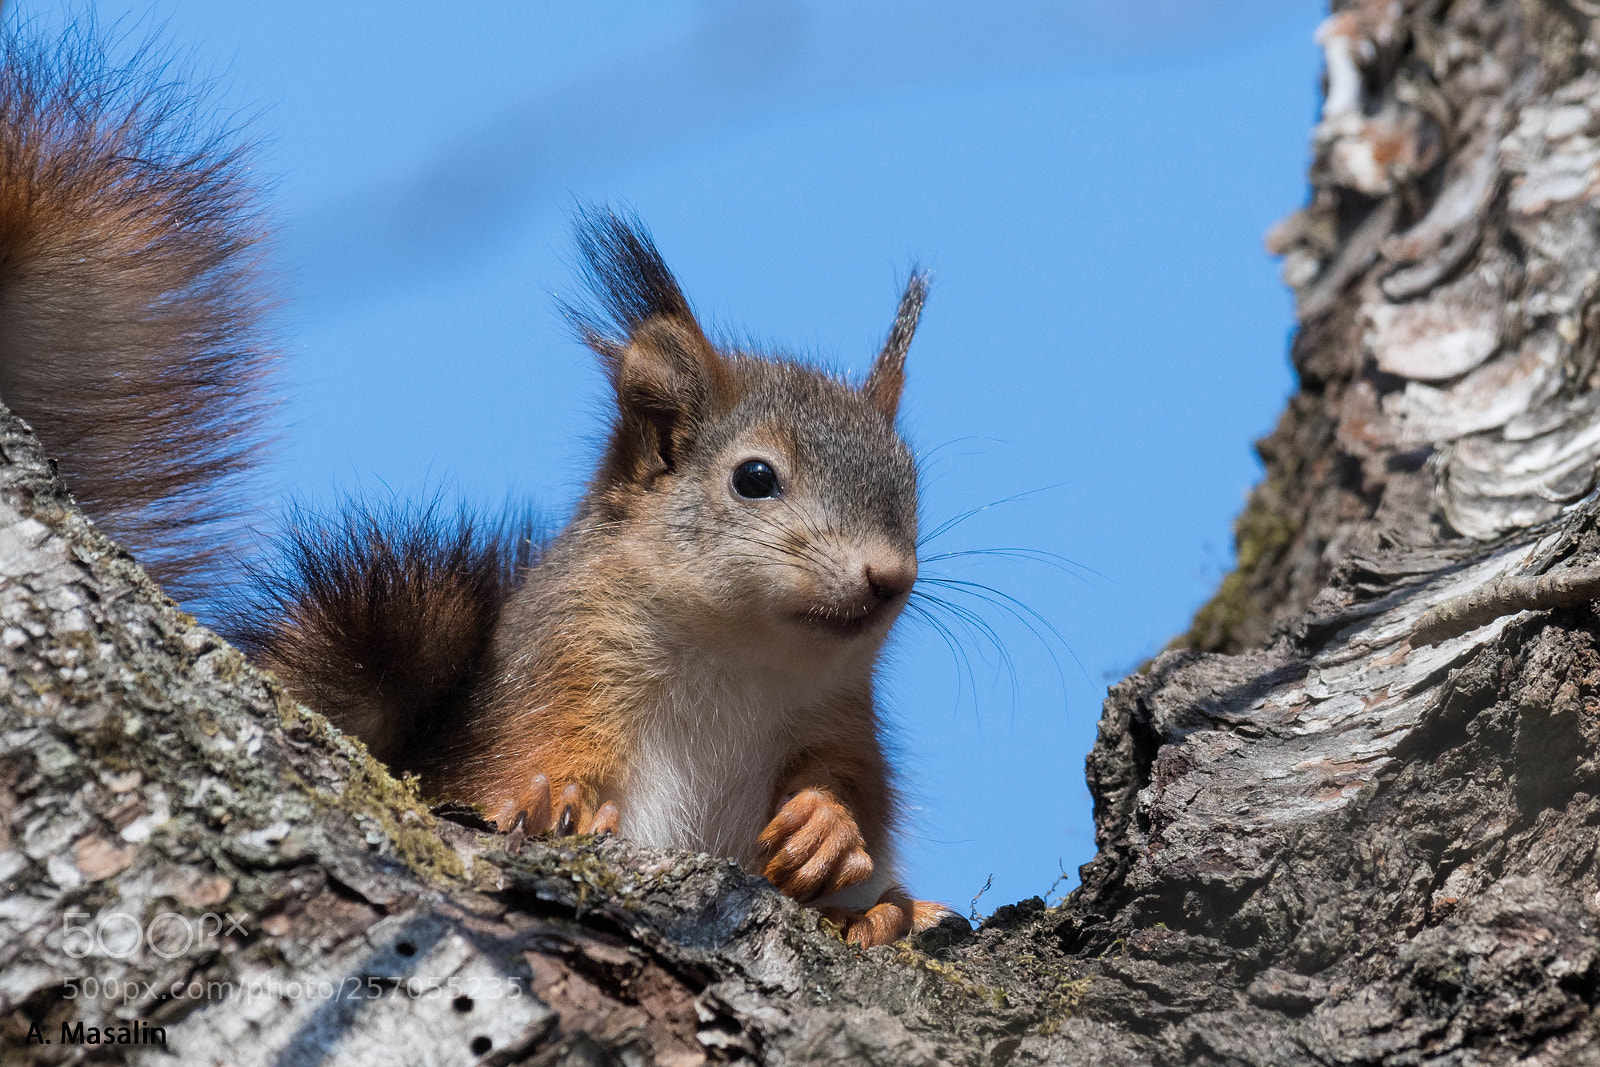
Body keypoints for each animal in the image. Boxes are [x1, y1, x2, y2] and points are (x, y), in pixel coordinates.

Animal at [0, 31, 965, 948]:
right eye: (755, 477)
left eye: (911, 480)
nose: (891, 577)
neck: (740, 662)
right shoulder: (557, 674)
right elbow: (513, 763)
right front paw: (543, 800)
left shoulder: (842, 722)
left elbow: (859, 790)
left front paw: (827, 831)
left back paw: (888, 913)